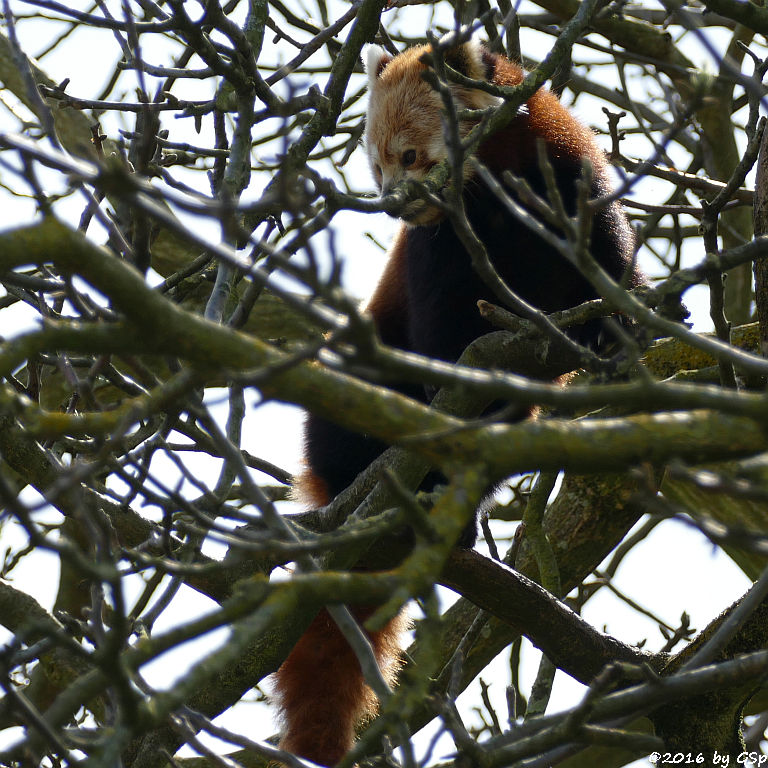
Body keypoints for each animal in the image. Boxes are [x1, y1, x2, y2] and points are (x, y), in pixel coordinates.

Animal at [272, 40, 640, 760]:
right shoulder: (437, 253)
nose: (391, 205)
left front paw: (621, 328)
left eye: (409, 155)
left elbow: (611, 267)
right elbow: (441, 334)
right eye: (375, 163)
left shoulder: (575, 188)